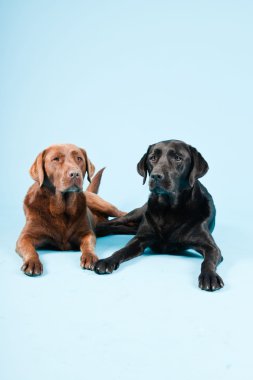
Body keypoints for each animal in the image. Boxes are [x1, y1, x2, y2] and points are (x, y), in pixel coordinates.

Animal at [16, 143, 125, 276]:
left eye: (79, 158)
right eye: (56, 159)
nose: (75, 173)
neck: (61, 210)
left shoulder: (87, 233)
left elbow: (88, 245)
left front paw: (90, 257)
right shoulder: (24, 237)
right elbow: (29, 249)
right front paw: (32, 262)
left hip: (105, 206)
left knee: (122, 213)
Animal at [94, 140, 223, 290]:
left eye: (178, 158)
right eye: (152, 158)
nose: (155, 176)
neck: (169, 209)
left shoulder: (211, 248)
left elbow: (207, 261)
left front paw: (209, 276)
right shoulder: (139, 239)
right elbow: (121, 250)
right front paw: (107, 261)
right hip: (137, 213)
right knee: (112, 222)